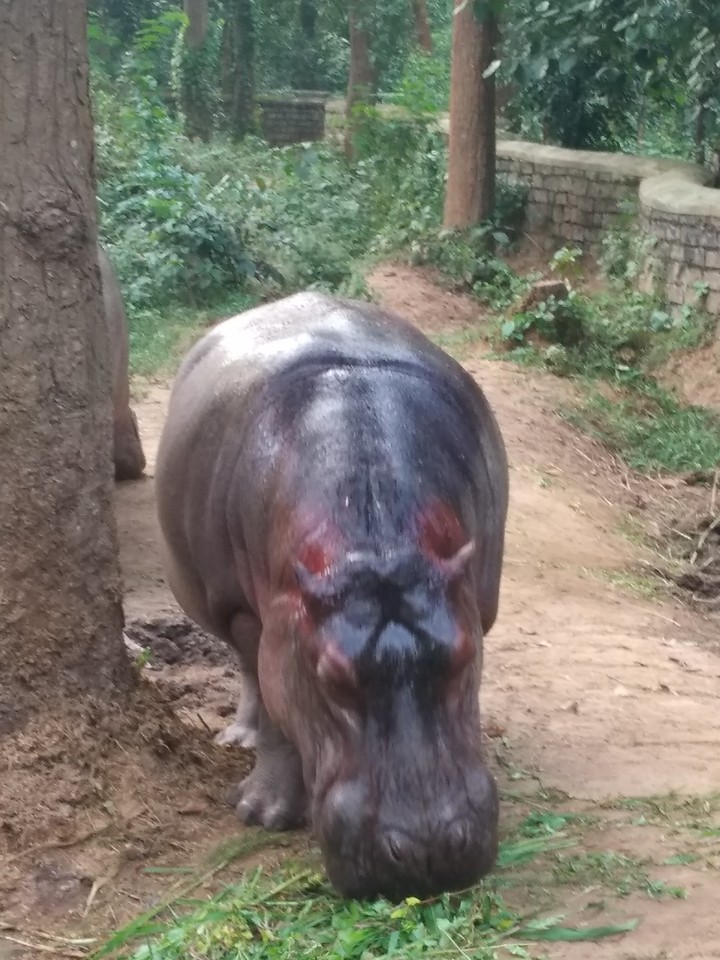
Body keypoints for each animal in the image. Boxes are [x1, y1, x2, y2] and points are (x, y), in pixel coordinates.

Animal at [155, 292, 509, 900]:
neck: (374, 542)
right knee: (248, 674)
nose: (428, 850)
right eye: (329, 676)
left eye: (464, 657)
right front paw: (261, 814)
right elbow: (273, 699)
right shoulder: (259, 619)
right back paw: (239, 738)